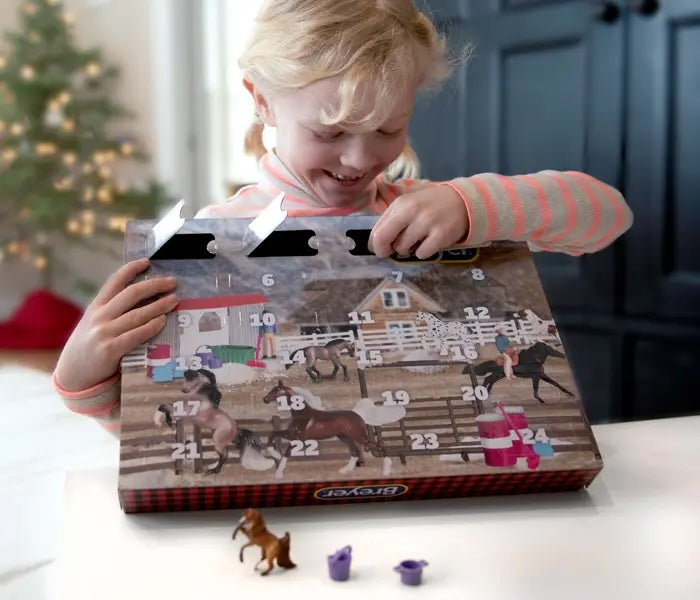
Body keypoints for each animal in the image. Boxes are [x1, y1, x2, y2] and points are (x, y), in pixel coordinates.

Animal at [262, 382, 394, 480]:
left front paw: (278, 474)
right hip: (345, 437)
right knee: (355, 452)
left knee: (377, 446)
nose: (265, 399)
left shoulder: (297, 439)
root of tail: (359, 416)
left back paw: (387, 471)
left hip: (358, 436)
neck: (301, 414)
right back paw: (344, 471)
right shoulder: (291, 434)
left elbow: (286, 453)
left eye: (275, 391)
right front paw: (274, 454)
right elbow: (273, 433)